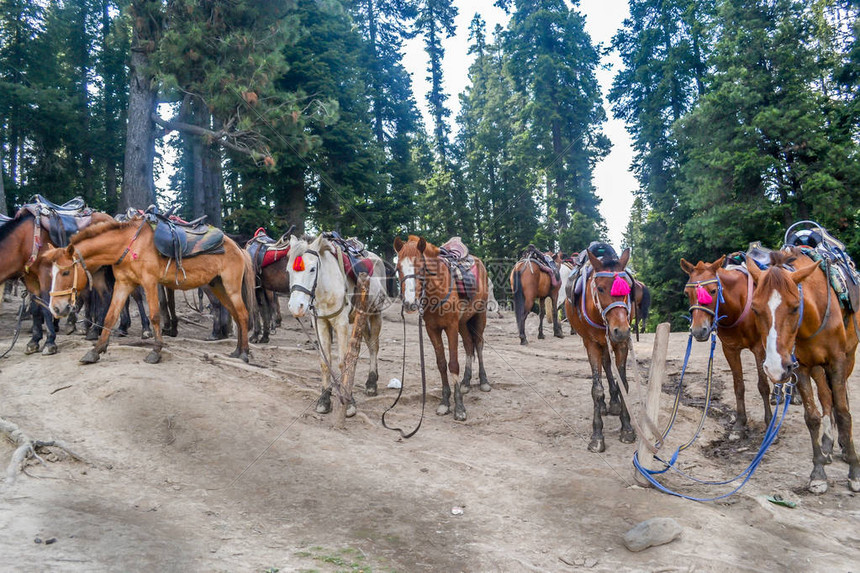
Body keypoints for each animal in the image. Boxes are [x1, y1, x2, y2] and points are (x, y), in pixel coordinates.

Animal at [45, 217, 255, 364]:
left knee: (243, 315)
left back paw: (244, 353)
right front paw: (95, 351)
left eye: (65, 272)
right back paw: (237, 351)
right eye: (51, 272)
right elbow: (110, 316)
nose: (56, 308)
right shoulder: (123, 284)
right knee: (236, 315)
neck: (128, 246)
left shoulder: (150, 282)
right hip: (218, 286)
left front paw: (156, 351)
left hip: (231, 287)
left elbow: (155, 315)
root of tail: (237, 247)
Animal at [286, 233, 386, 416]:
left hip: (375, 313)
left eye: (312, 269)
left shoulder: (341, 324)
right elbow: (325, 362)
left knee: (374, 346)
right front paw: (324, 400)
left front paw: (349, 402)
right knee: (368, 342)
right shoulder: (320, 323)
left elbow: (342, 361)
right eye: (288, 270)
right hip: (361, 318)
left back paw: (371, 384)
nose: (296, 307)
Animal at [394, 233, 490, 420]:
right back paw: (466, 382)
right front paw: (445, 401)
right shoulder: (432, 329)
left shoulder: (451, 327)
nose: (409, 303)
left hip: (479, 315)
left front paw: (459, 407)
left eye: (421, 268)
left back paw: (484, 381)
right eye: (398, 268)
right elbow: (441, 363)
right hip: (463, 322)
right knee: (469, 345)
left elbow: (453, 364)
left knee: (479, 344)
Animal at [564, 248, 644, 454]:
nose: (621, 330)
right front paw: (597, 436)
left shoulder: (621, 343)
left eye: (627, 289)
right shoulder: (592, 343)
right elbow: (596, 389)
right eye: (600, 288)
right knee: (603, 367)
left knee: (608, 364)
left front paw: (627, 428)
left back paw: (614, 402)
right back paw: (601, 406)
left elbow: (624, 384)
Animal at [744, 248, 860, 494]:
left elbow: (844, 413)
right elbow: (812, 417)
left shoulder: (837, 362)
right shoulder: (802, 367)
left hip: (849, 357)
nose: (774, 367)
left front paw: (855, 472)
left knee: (840, 398)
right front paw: (818, 474)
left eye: (795, 307)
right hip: (817, 367)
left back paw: (844, 448)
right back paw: (827, 445)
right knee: (826, 397)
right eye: (755, 309)